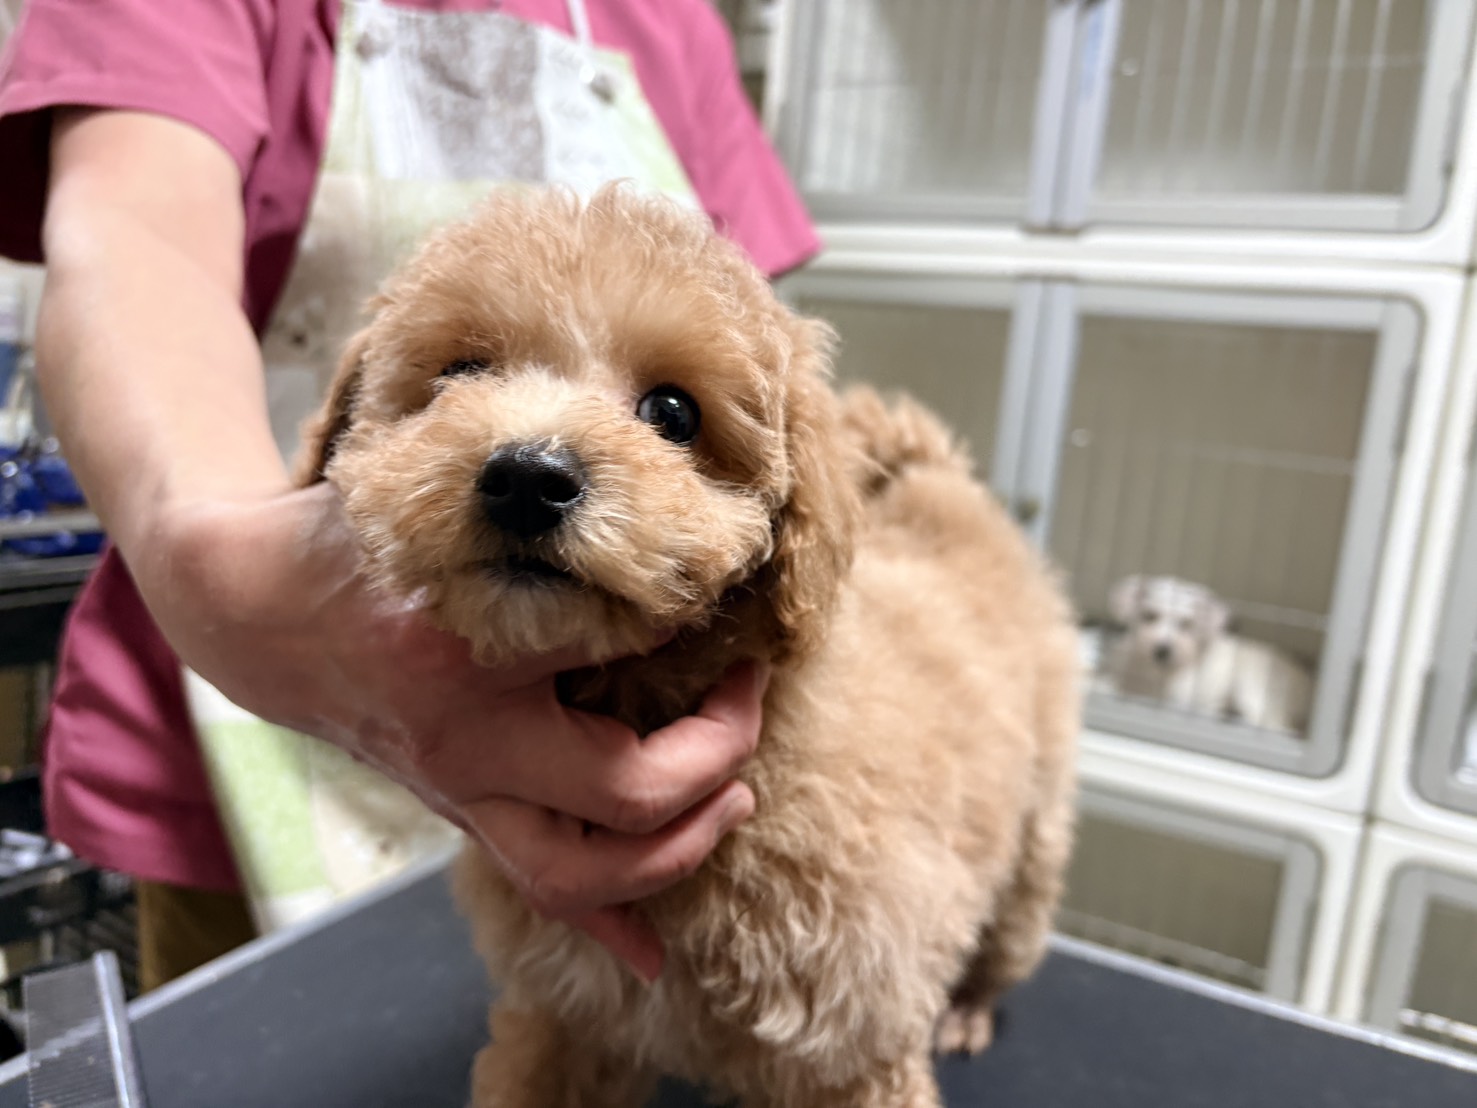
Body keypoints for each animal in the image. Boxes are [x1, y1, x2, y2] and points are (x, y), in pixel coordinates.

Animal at [296, 185, 1079, 1108]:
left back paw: (970, 1006)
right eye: (458, 377)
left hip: (1035, 831)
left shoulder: (851, 1049)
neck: (644, 688)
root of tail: (939, 490)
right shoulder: (568, 1009)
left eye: (673, 413)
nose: (526, 477)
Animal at [1102, 574, 1314, 735]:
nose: (1162, 650)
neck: (1150, 673)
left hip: (1250, 688)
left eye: (1187, 624)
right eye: (1149, 616)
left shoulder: (1174, 701)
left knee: (1274, 725)